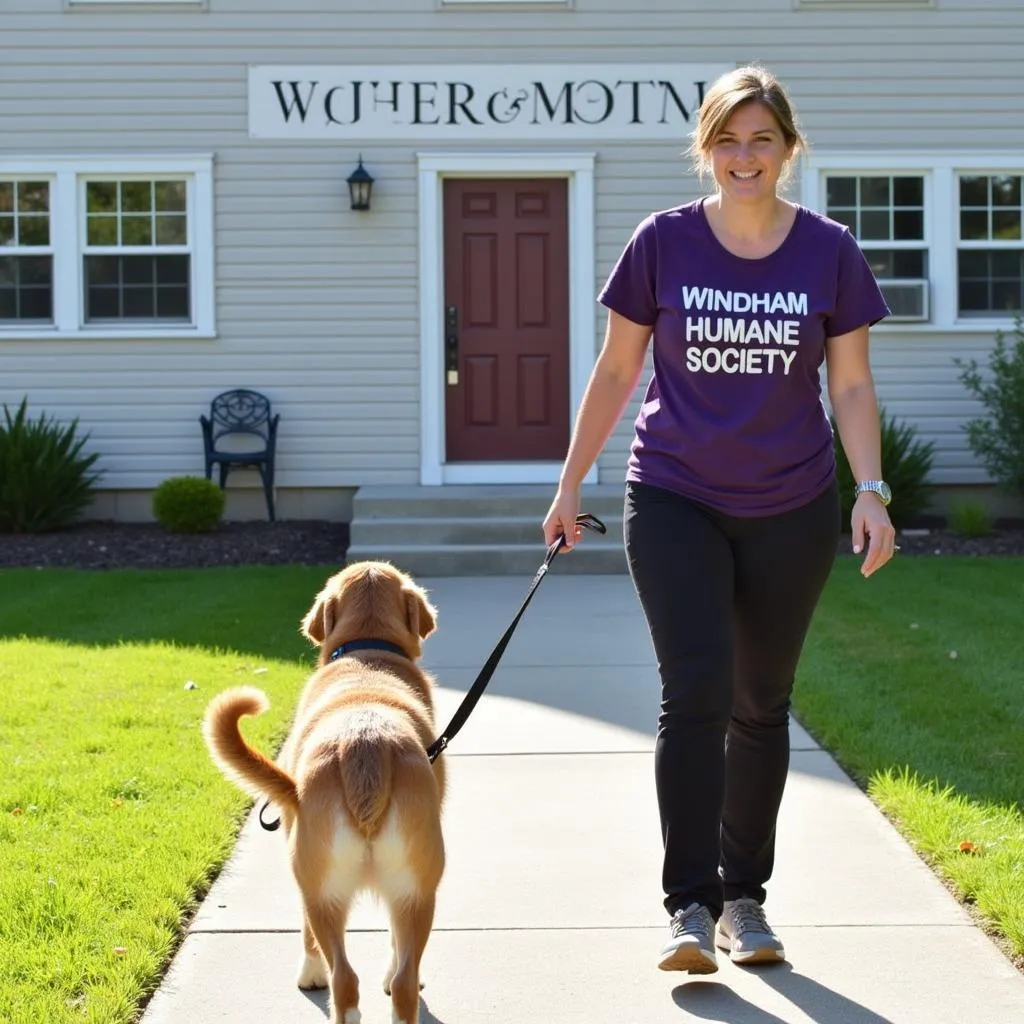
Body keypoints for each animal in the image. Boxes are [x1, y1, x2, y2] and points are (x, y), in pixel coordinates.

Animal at [204, 561, 448, 1024]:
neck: (368, 655)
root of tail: (365, 748)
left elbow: (304, 932)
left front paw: (309, 973)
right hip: (415, 890)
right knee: (400, 984)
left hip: (331, 889)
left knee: (346, 978)